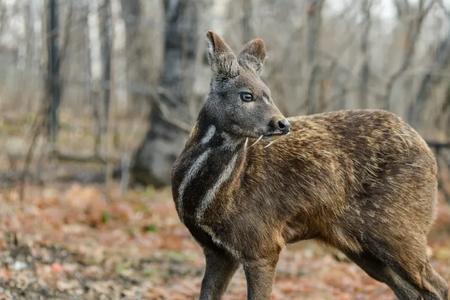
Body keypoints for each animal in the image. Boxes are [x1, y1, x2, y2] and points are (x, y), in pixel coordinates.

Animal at [171, 31, 448, 300]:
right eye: (246, 95)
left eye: (268, 93)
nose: (282, 123)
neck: (211, 201)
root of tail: (428, 152)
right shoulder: (217, 251)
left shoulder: (262, 243)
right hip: (361, 246)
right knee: (414, 291)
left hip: (399, 228)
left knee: (438, 286)